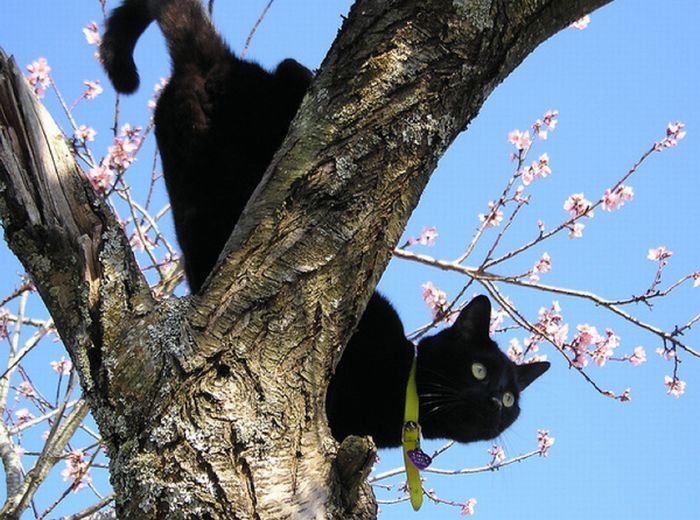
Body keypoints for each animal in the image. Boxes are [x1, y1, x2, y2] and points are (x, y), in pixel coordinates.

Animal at [98, 0, 548, 446]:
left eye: (510, 399)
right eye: (479, 371)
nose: (493, 403)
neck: (396, 399)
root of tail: (208, 62)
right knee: (290, 73)